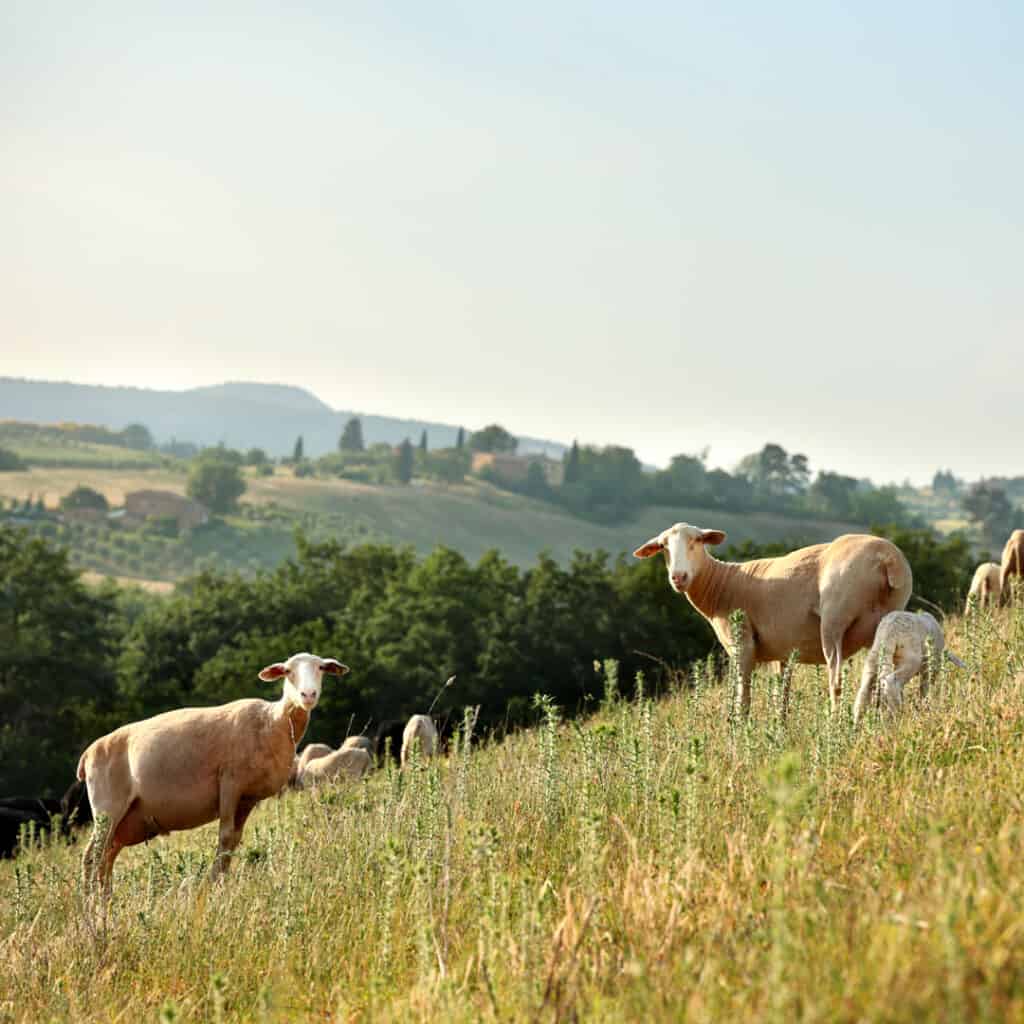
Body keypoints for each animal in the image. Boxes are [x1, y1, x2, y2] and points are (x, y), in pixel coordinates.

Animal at [75, 651, 348, 901]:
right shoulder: (229, 782)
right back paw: (90, 904)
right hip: (108, 807)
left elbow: (234, 841)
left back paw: (105, 899)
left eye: (321, 668)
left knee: (106, 857)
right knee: (92, 857)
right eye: (288, 671)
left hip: (124, 821)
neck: (273, 722)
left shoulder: (247, 798)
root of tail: (88, 754)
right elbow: (225, 837)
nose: (308, 695)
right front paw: (212, 886)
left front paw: (220, 883)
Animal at [630, 524, 913, 716]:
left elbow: (743, 697)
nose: (678, 577)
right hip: (886, 623)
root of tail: (887, 558)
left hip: (834, 621)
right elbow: (781, 696)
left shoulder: (743, 644)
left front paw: (739, 734)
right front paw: (779, 729)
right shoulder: (782, 651)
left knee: (836, 682)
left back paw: (835, 725)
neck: (721, 584)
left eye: (697, 540)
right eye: (663, 546)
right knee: (878, 678)